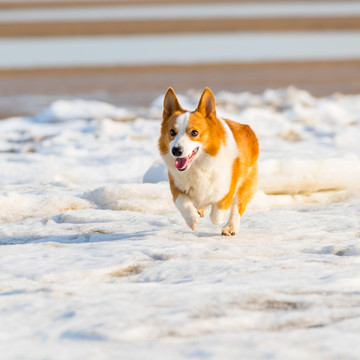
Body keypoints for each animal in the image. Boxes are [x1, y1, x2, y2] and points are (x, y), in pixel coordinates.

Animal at [158, 87, 258, 236]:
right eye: (172, 132)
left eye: (194, 132)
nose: (176, 150)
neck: (197, 166)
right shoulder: (176, 186)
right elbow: (183, 203)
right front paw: (192, 219)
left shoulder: (227, 188)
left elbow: (217, 215)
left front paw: (216, 217)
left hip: (246, 182)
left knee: (237, 207)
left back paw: (230, 227)